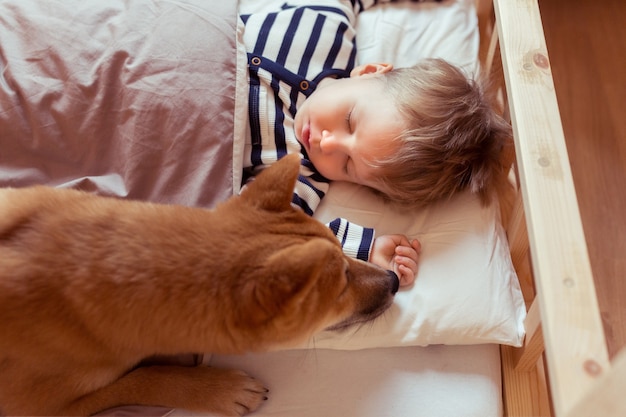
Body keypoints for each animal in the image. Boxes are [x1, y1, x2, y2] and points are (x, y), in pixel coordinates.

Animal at [0, 154, 398, 414]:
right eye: (341, 286)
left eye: (341, 253)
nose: (394, 279)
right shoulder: (38, 409)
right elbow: (143, 377)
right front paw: (216, 389)